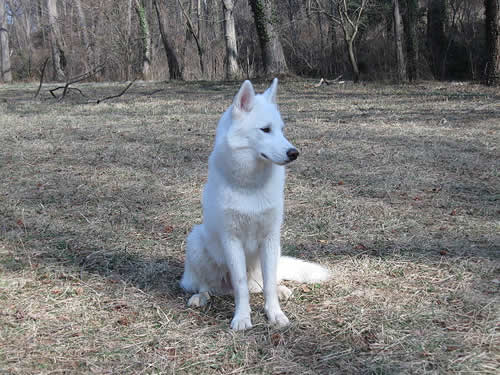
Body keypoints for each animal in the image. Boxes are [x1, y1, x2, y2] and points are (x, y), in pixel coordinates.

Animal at [182, 78, 330, 330]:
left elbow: (268, 284)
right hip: (196, 242)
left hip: (274, 251)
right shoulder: (231, 241)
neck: (250, 185)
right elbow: (240, 285)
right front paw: (242, 317)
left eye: (281, 130)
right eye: (265, 129)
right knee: (207, 285)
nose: (294, 153)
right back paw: (200, 297)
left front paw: (275, 314)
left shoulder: (269, 239)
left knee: (263, 284)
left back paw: (281, 290)